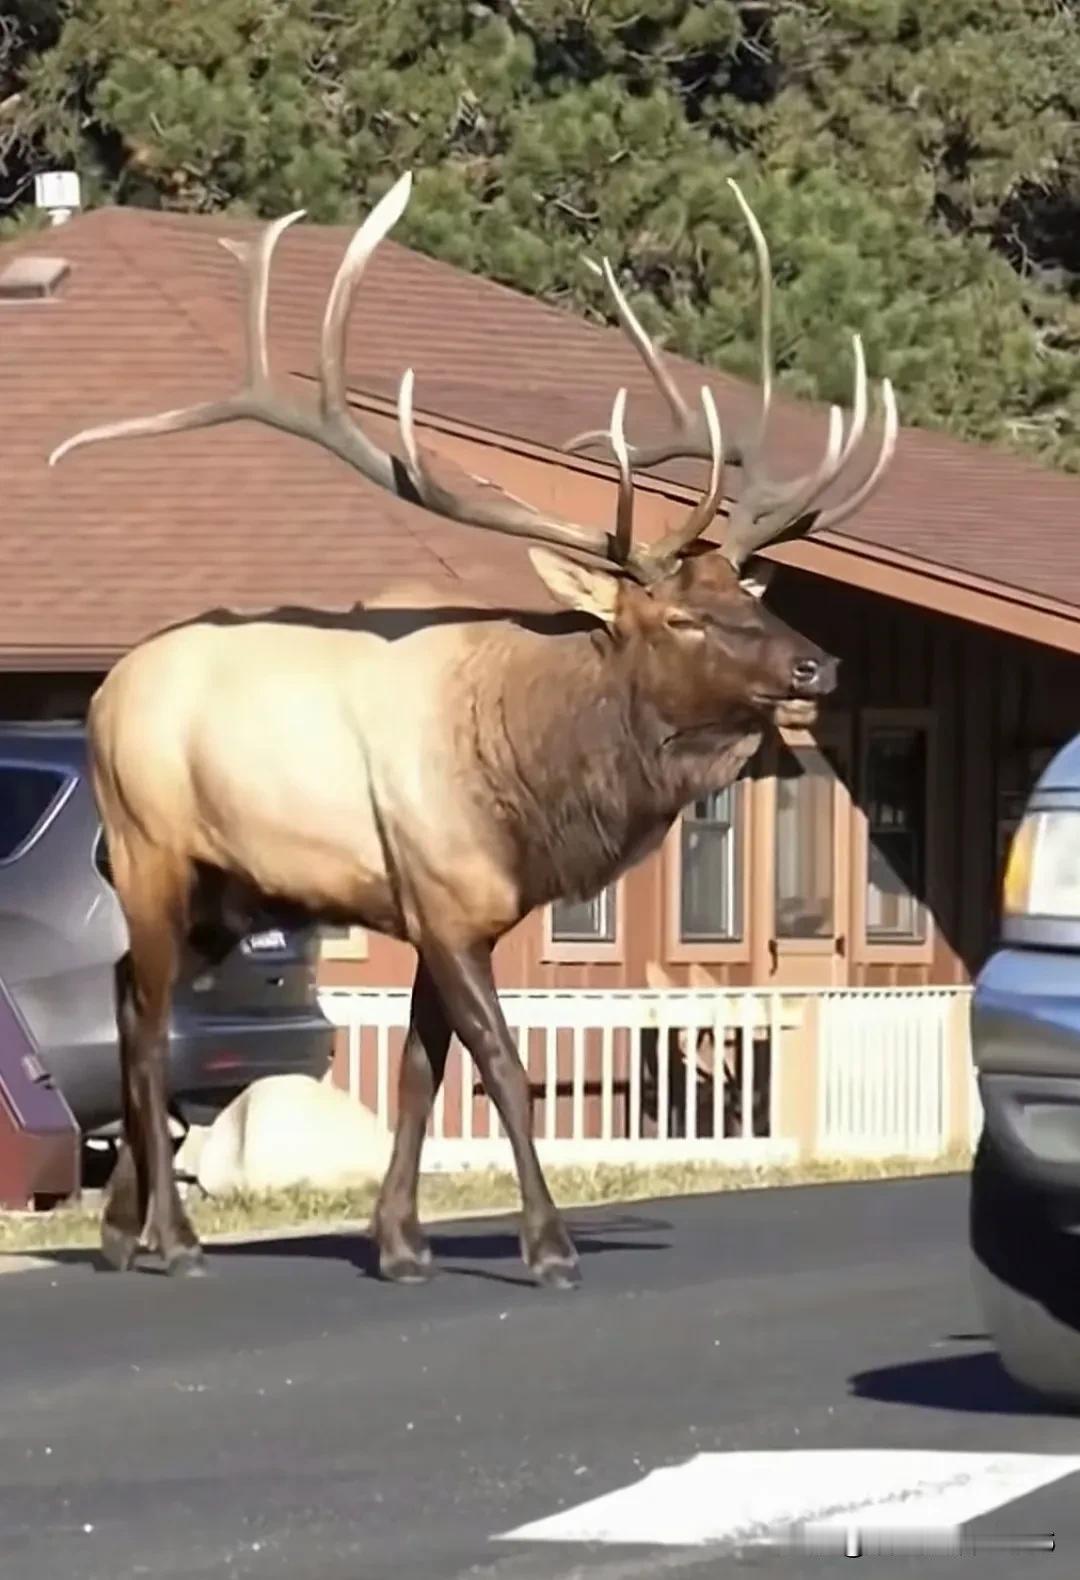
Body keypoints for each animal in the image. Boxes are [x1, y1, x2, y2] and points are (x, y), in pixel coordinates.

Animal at [48, 169, 896, 1282]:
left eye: (743, 593)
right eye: (681, 616)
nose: (819, 663)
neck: (533, 779)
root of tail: (104, 691)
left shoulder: (447, 913)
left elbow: (421, 1066)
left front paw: (400, 1241)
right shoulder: (446, 900)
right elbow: (502, 1064)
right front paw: (548, 1244)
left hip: (230, 890)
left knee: (122, 995)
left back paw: (117, 1230)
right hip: (152, 850)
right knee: (147, 1025)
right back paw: (176, 1240)